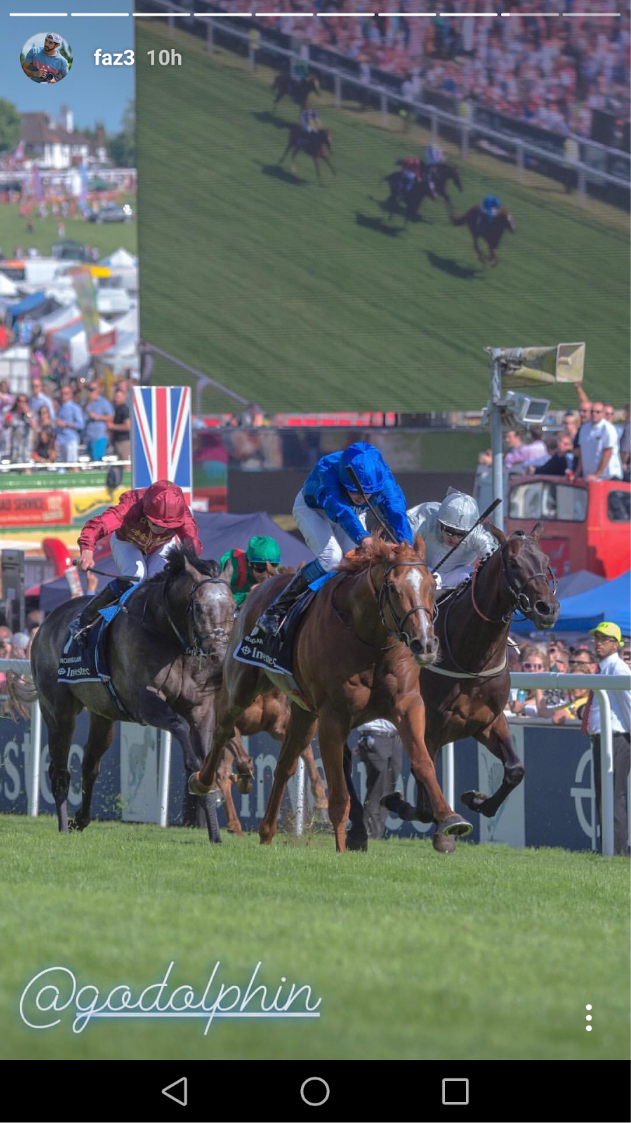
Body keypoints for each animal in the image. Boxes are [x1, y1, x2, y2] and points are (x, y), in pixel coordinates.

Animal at [30, 543, 245, 844]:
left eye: (234, 607)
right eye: (199, 607)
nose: (219, 655)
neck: (168, 635)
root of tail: (46, 623)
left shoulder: (201, 709)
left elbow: (206, 761)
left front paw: (215, 834)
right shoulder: (145, 703)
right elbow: (180, 729)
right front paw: (193, 770)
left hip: (103, 715)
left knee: (90, 765)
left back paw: (79, 820)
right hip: (57, 712)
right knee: (59, 770)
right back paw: (62, 826)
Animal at [188, 539, 473, 844]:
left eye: (431, 585)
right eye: (394, 588)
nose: (425, 643)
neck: (368, 639)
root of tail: (258, 589)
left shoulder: (407, 704)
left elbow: (423, 761)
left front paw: (449, 817)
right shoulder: (333, 718)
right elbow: (339, 797)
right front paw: (342, 846)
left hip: (302, 712)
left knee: (285, 765)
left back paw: (266, 833)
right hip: (241, 685)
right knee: (223, 729)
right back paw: (202, 781)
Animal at [377, 525, 554, 848]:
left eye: (546, 561)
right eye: (513, 563)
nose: (548, 608)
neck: (471, 658)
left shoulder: (488, 722)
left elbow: (515, 769)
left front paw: (477, 800)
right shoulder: (429, 728)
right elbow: (424, 792)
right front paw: (407, 806)